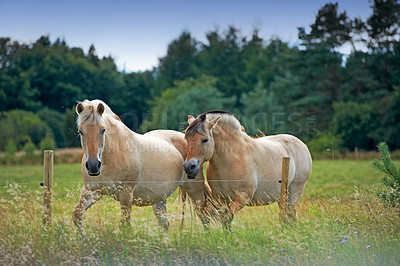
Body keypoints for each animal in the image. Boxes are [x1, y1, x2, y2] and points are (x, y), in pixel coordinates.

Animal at [73, 100, 184, 237]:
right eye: (80, 131)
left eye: (103, 130)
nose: (93, 166)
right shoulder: (92, 191)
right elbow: (77, 214)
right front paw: (85, 240)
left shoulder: (126, 194)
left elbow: (124, 225)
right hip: (160, 198)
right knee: (165, 224)